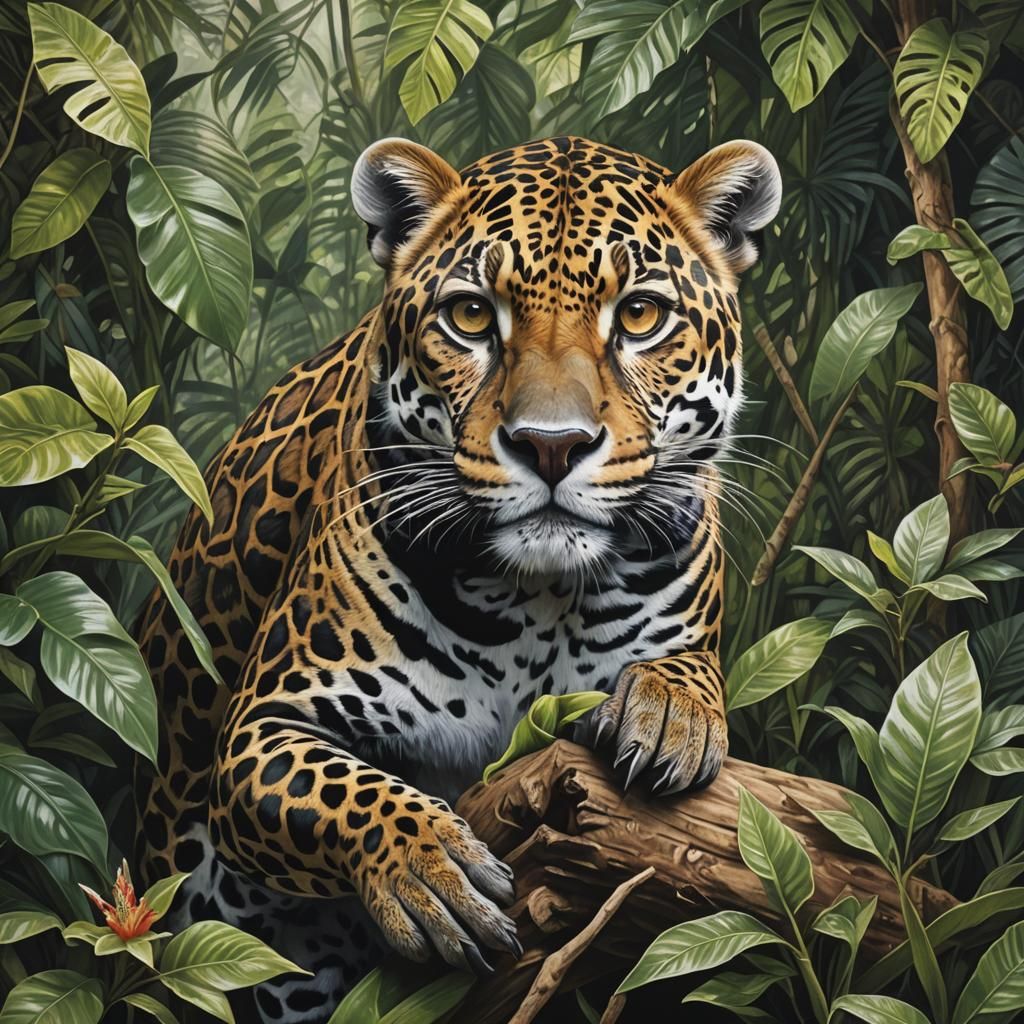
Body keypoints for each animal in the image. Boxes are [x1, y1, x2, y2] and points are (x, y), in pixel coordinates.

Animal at [136, 134, 781, 1024]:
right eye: (471, 316)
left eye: (640, 316)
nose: (551, 445)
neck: (538, 599)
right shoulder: (259, 732)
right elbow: (346, 790)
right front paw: (430, 868)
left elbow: (687, 666)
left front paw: (670, 716)